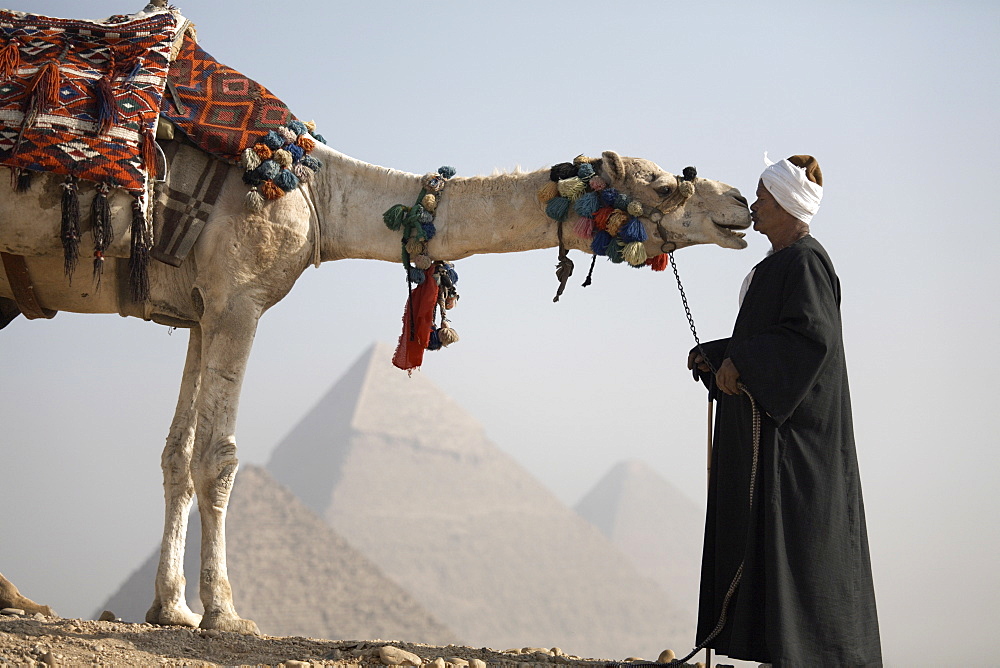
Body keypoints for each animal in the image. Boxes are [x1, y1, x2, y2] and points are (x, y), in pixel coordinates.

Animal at [1, 137, 752, 632]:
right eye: (665, 183)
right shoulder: (240, 298)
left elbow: (177, 457)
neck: (320, 196)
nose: (740, 204)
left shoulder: (198, 309)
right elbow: (219, 457)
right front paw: (224, 612)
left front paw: (172, 608)